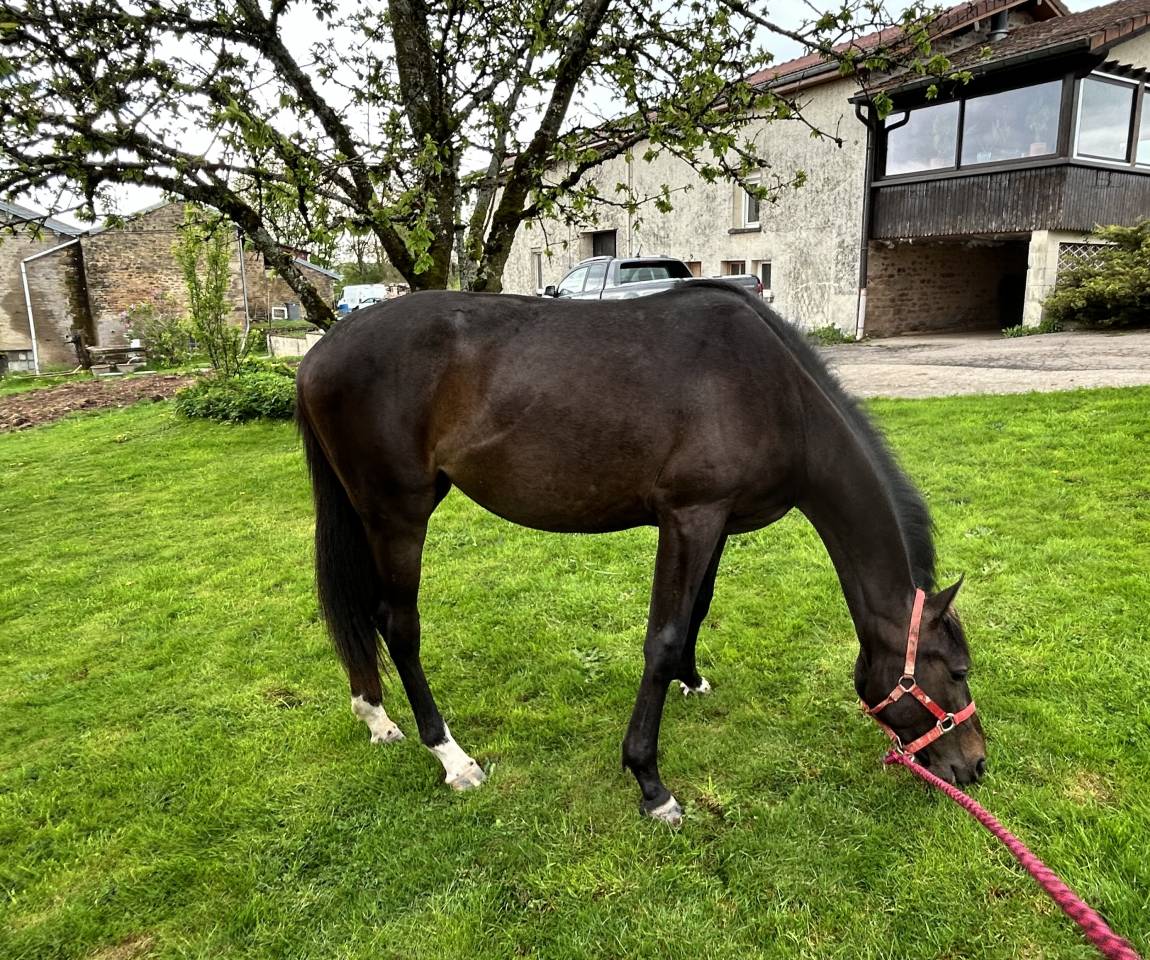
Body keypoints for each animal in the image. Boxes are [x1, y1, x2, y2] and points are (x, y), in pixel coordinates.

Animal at [295, 281, 986, 824]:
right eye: (956, 672)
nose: (976, 765)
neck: (779, 394)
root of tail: (319, 353)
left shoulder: (716, 521)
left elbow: (696, 612)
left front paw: (691, 679)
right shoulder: (690, 517)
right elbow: (663, 636)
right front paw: (651, 783)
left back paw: (375, 716)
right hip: (399, 515)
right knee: (397, 625)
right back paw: (451, 757)